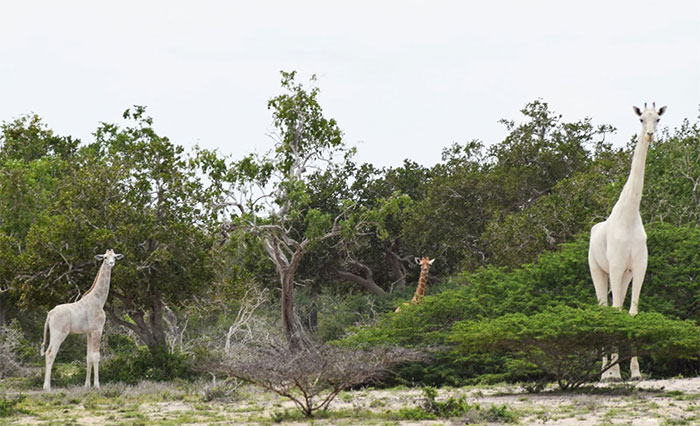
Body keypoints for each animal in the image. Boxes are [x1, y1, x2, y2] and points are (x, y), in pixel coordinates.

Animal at [41, 249, 123, 391]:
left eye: (114, 257)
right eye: (105, 257)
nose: (112, 263)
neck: (99, 300)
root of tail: (49, 314)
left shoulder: (89, 333)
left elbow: (88, 357)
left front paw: (87, 385)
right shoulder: (97, 329)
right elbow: (96, 356)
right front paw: (97, 386)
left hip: (54, 333)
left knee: (48, 352)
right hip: (59, 333)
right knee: (50, 353)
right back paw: (47, 387)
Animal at [588, 103, 666, 381]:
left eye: (658, 119)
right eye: (641, 119)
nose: (650, 135)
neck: (630, 215)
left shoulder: (638, 267)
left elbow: (631, 312)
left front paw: (635, 371)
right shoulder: (616, 266)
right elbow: (615, 312)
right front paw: (613, 373)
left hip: (623, 275)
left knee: (616, 306)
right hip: (599, 270)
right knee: (604, 308)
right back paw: (605, 372)